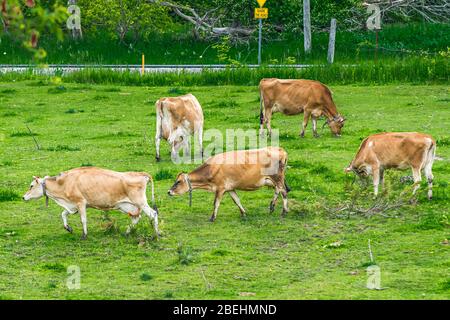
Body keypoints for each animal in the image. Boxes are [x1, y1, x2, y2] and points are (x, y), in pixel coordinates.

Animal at [23, 166, 160, 239]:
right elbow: (63, 214)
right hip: (127, 205)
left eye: (31, 186)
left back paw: (157, 234)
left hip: (140, 202)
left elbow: (83, 219)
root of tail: (141, 174)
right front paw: (68, 228)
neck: (64, 183)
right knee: (136, 217)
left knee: (153, 214)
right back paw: (127, 233)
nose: (23, 197)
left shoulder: (80, 202)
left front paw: (84, 235)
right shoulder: (73, 206)